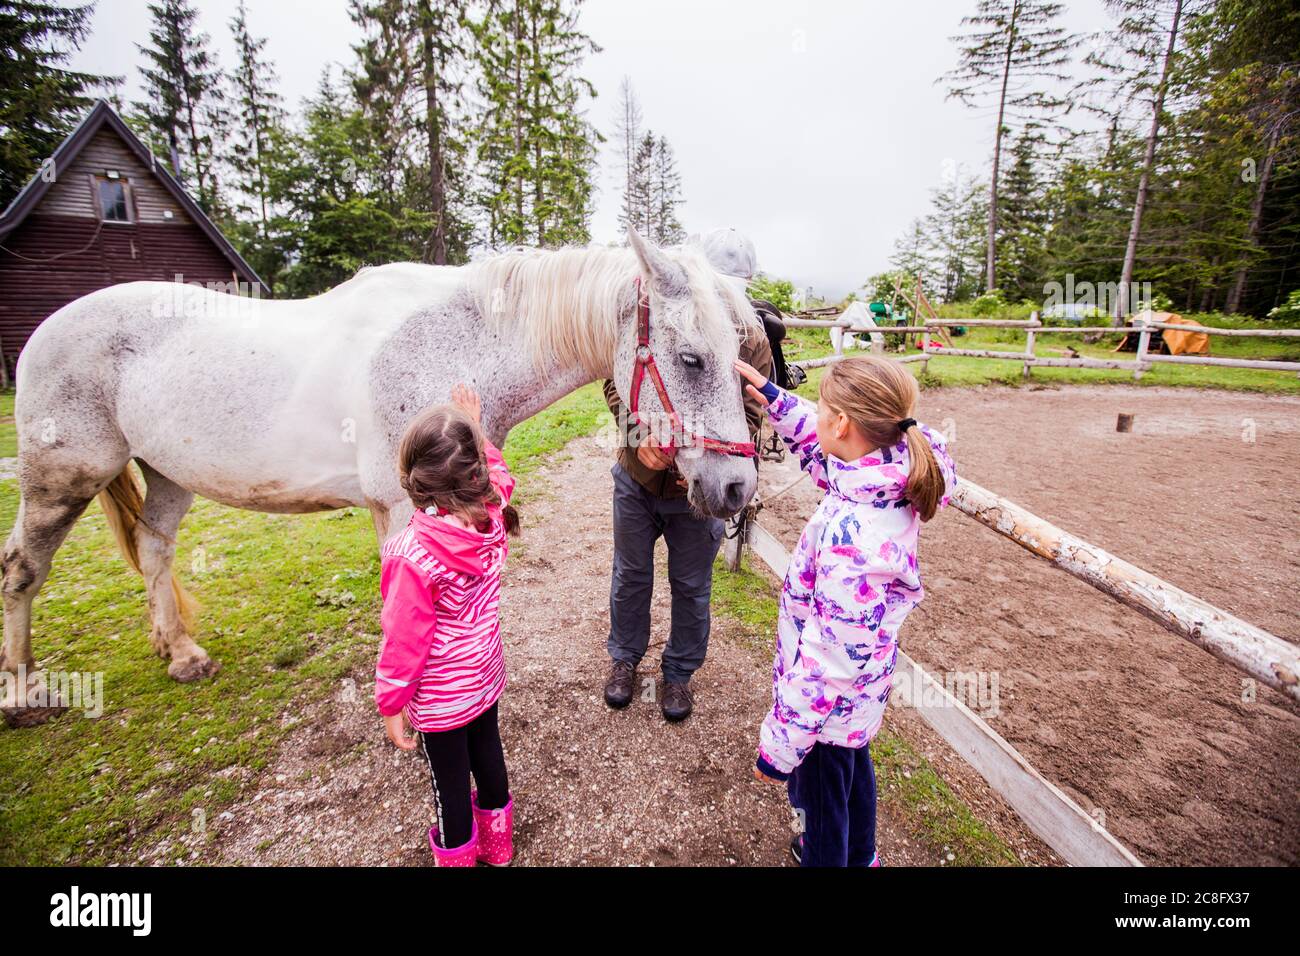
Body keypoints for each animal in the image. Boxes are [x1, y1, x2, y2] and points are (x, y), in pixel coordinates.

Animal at [0, 230, 759, 723]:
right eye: (691, 359)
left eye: (738, 351)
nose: (737, 489)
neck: (458, 343)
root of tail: (44, 331)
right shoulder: (402, 508)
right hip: (60, 479)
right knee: (22, 571)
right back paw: (22, 692)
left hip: (165, 474)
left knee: (154, 550)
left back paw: (180, 653)